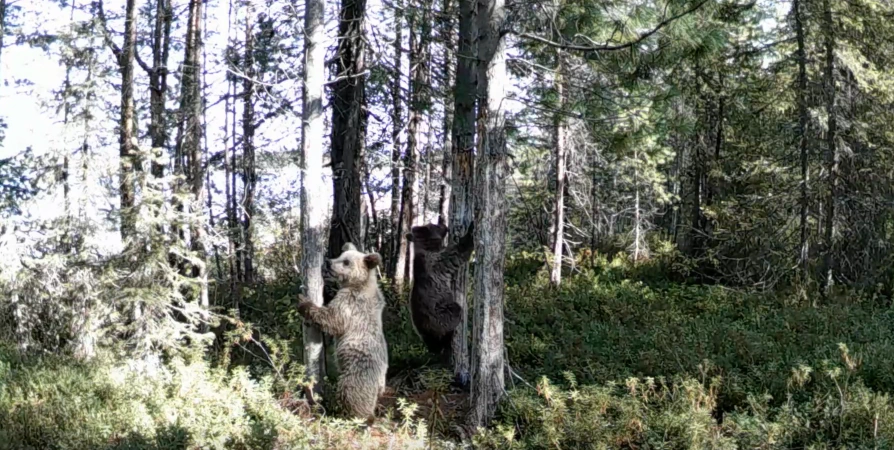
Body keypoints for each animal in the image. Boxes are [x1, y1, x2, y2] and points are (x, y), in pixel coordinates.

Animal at [298, 243, 388, 422]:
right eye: (341, 255)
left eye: (346, 262)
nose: (328, 262)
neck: (359, 284)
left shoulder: (351, 304)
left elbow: (333, 319)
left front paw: (304, 303)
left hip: (357, 374)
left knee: (350, 394)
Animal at [406, 220, 476, 382]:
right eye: (433, 225)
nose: (444, 224)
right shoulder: (437, 261)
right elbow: (457, 253)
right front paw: (470, 230)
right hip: (439, 315)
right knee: (454, 313)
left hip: (424, 332)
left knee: (432, 345)